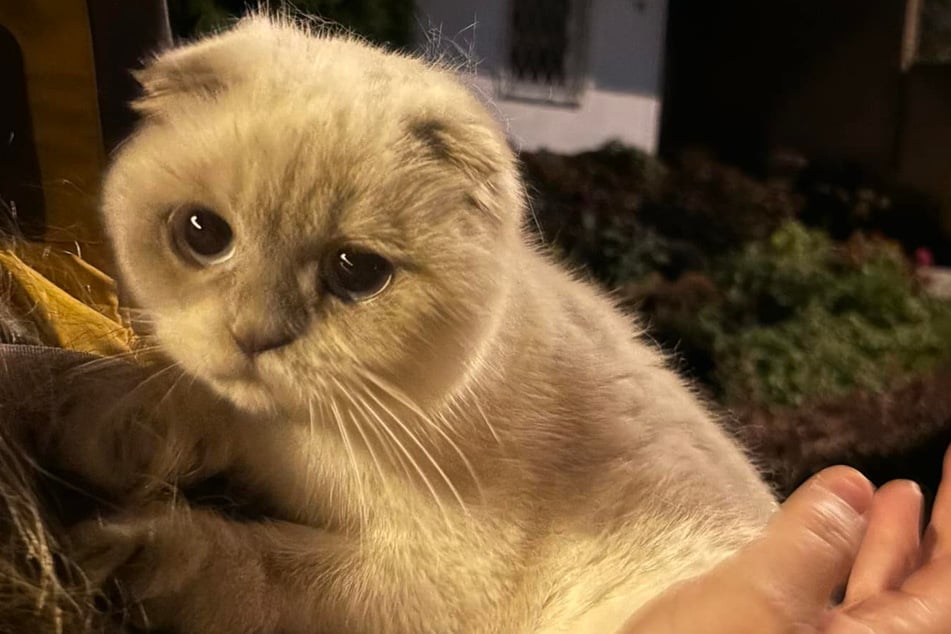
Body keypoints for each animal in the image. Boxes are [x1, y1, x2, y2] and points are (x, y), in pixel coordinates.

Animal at [48, 14, 776, 632]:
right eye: (201, 233)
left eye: (356, 272)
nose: (254, 338)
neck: (323, 441)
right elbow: (202, 407)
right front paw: (111, 433)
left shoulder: (414, 582)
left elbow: (243, 563)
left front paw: (115, 550)